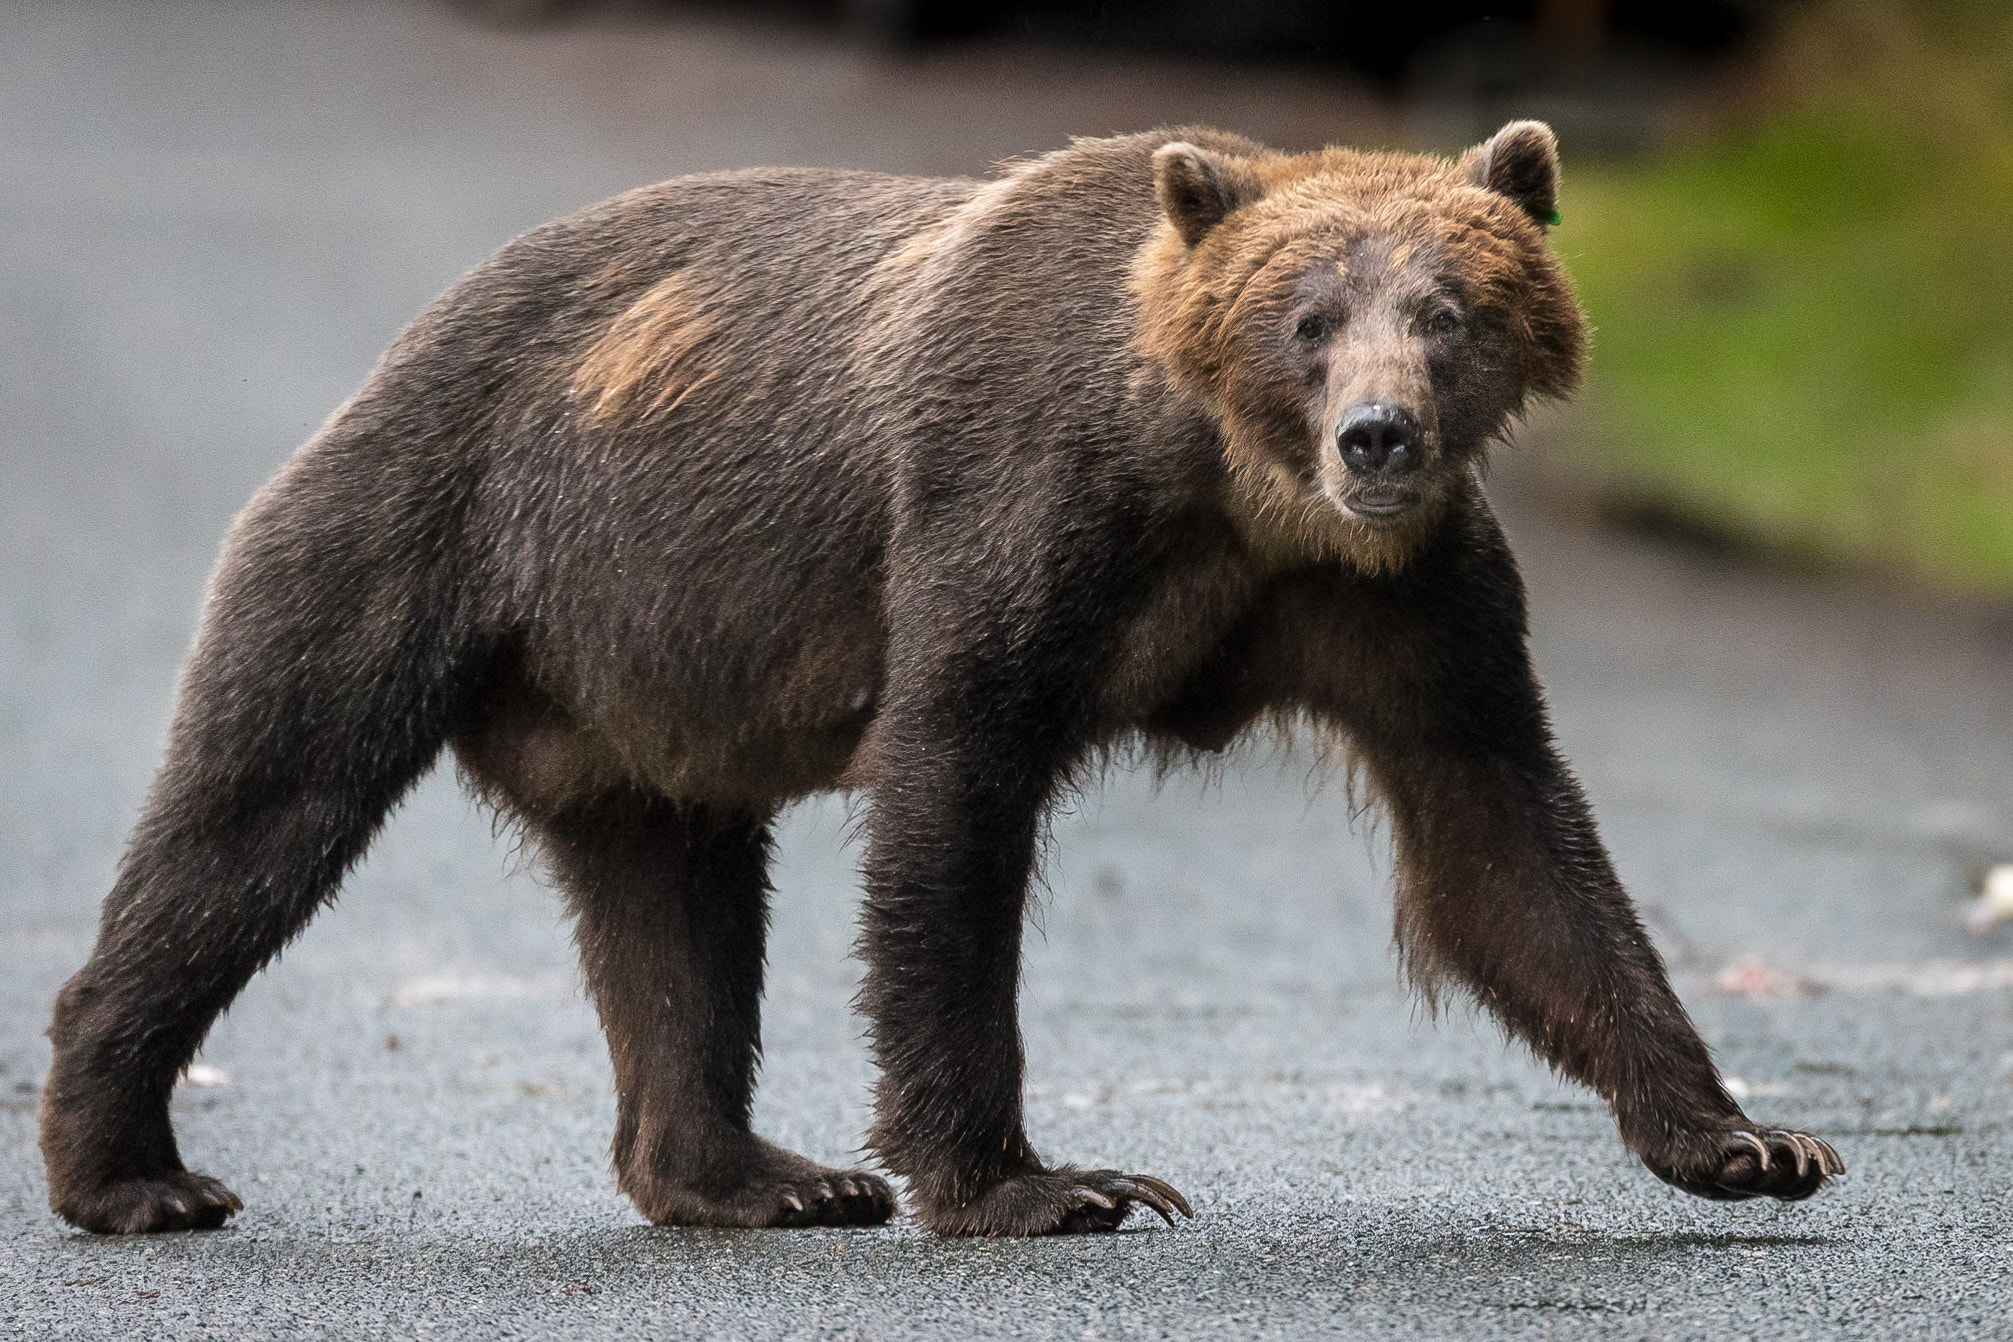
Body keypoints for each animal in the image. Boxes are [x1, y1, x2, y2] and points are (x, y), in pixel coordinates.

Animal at [39, 123, 1843, 1239]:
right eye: (1308, 316)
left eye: (1451, 307)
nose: (1378, 437)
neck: (1226, 495)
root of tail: (414, 331)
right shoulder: (1015, 513)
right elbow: (952, 806)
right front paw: (1045, 1182)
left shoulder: (1397, 609)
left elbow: (1506, 842)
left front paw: (1747, 1138)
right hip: (428, 532)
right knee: (260, 804)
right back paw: (136, 1169)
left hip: (637, 691)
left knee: (676, 905)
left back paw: (752, 1172)